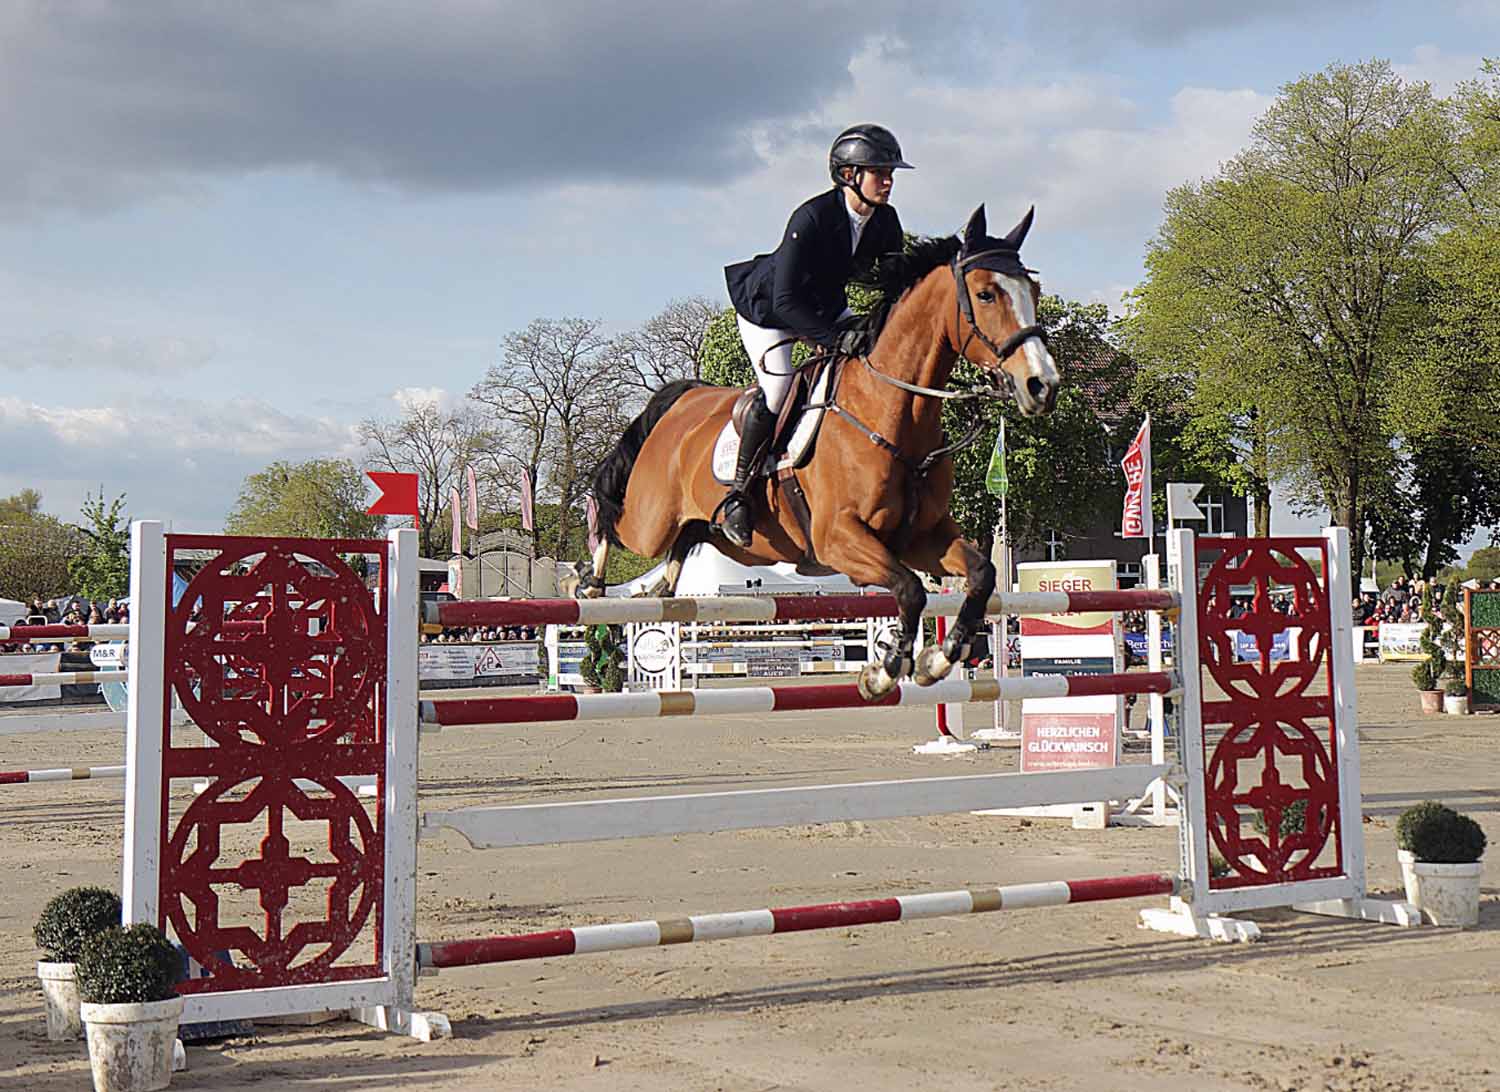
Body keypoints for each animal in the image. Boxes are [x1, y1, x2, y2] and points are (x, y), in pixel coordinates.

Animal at [579, 204, 1062, 699]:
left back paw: (660, 584)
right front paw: (885, 670)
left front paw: (938, 658)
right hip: (651, 519)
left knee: (686, 539)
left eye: (1034, 291)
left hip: (723, 536)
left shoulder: (922, 536)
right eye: (986, 294)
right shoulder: (838, 539)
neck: (890, 409)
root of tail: (687, 398)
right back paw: (589, 582)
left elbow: (981, 574)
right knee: (612, 514)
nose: (1042, 385)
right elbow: (911, 589)